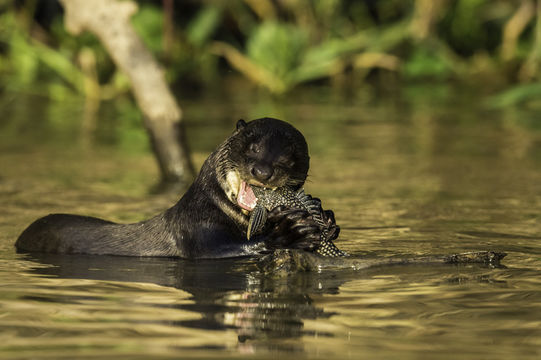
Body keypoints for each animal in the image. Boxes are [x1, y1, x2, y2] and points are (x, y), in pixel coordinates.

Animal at [15, 118, 338, 258]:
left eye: (288, 159)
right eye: (252, 147)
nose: (263, 170)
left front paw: (328, 220)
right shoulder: (195, 230)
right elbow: (220, 250)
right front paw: (289, 233)